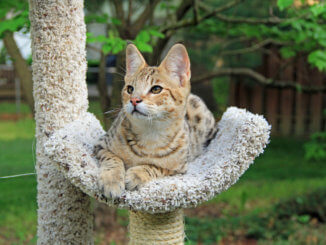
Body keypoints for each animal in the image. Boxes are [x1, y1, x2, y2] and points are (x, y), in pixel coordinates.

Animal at [95, 42, 216, 199]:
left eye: (156, 89)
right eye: (130, 89)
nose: (134, 100)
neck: (150, 134)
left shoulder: (179, 168)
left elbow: (156, 167)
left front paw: (137, 173)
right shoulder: (100, 145)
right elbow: (113, 159)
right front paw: (112, 179)